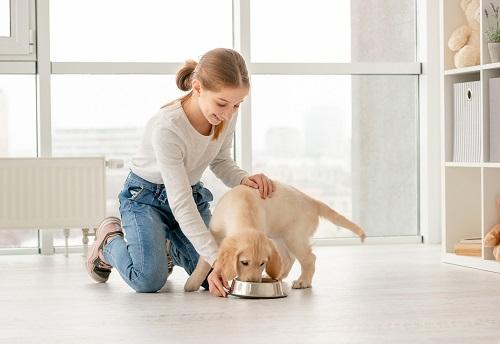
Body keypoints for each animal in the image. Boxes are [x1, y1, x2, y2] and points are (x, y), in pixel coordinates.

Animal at [186, 181, 366, 292]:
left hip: (294, 237)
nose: (253, 282)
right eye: (244, 262)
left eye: (262, 263)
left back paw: (303, 281)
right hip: (279, 236)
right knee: (288, 258)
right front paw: (193, 283)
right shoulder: (214, 233)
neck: (242, 208)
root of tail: (312, 201)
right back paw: (278, 276)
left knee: (309, 259)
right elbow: (203, 261)